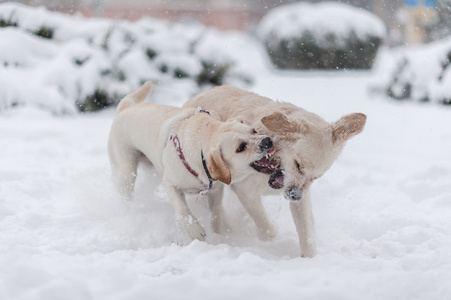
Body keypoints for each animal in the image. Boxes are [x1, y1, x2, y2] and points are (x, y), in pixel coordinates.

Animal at [108, 82, 278, 241]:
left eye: (254, 131)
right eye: (241, 147)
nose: (267, 141)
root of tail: (125, 107)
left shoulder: (216, 189)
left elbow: (215, 212)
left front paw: (219, 234)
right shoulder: (170, 184)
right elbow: (182, 209)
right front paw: (195, 230)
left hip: (152, 172)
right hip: (126, 172)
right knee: (126, 195)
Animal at [185, 85, 368, 256]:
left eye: (316, 177)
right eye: (298, 165)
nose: (295, 196)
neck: (271, 160)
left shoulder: (302, 197)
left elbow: (306, 232)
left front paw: (309, 258)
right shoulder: (244, 190)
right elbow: (266, 225)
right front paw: (268, 233)